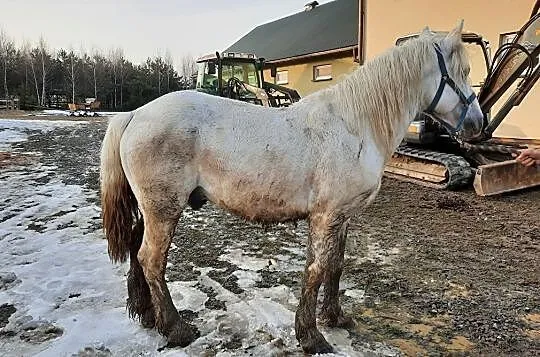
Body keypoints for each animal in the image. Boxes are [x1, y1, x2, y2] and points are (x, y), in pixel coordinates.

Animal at [100, 22, 480, 354]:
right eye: (462, 71)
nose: (478, 124)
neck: (354, 125)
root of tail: (134, 115)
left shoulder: (342, 217)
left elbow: (335, 266)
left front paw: (335, 317)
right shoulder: (326, 216)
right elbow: (316, 270)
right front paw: (311, 337)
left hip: (149, 209)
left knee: (136, 252)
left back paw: (147, 316)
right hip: (164, 209)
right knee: (151, 260)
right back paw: (175, 328)